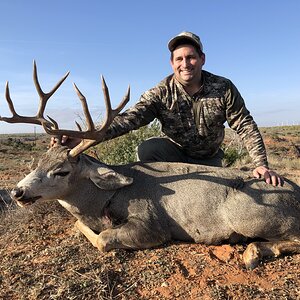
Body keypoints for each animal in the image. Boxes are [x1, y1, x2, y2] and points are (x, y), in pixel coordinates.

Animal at [0, 61, 300, 270]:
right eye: (38, 162)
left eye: (61, 171)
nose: (17, 192)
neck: (104, 198)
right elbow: (78, 225)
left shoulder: (152, 226)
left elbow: (102, 237)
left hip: (250, 216)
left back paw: (251, 253)